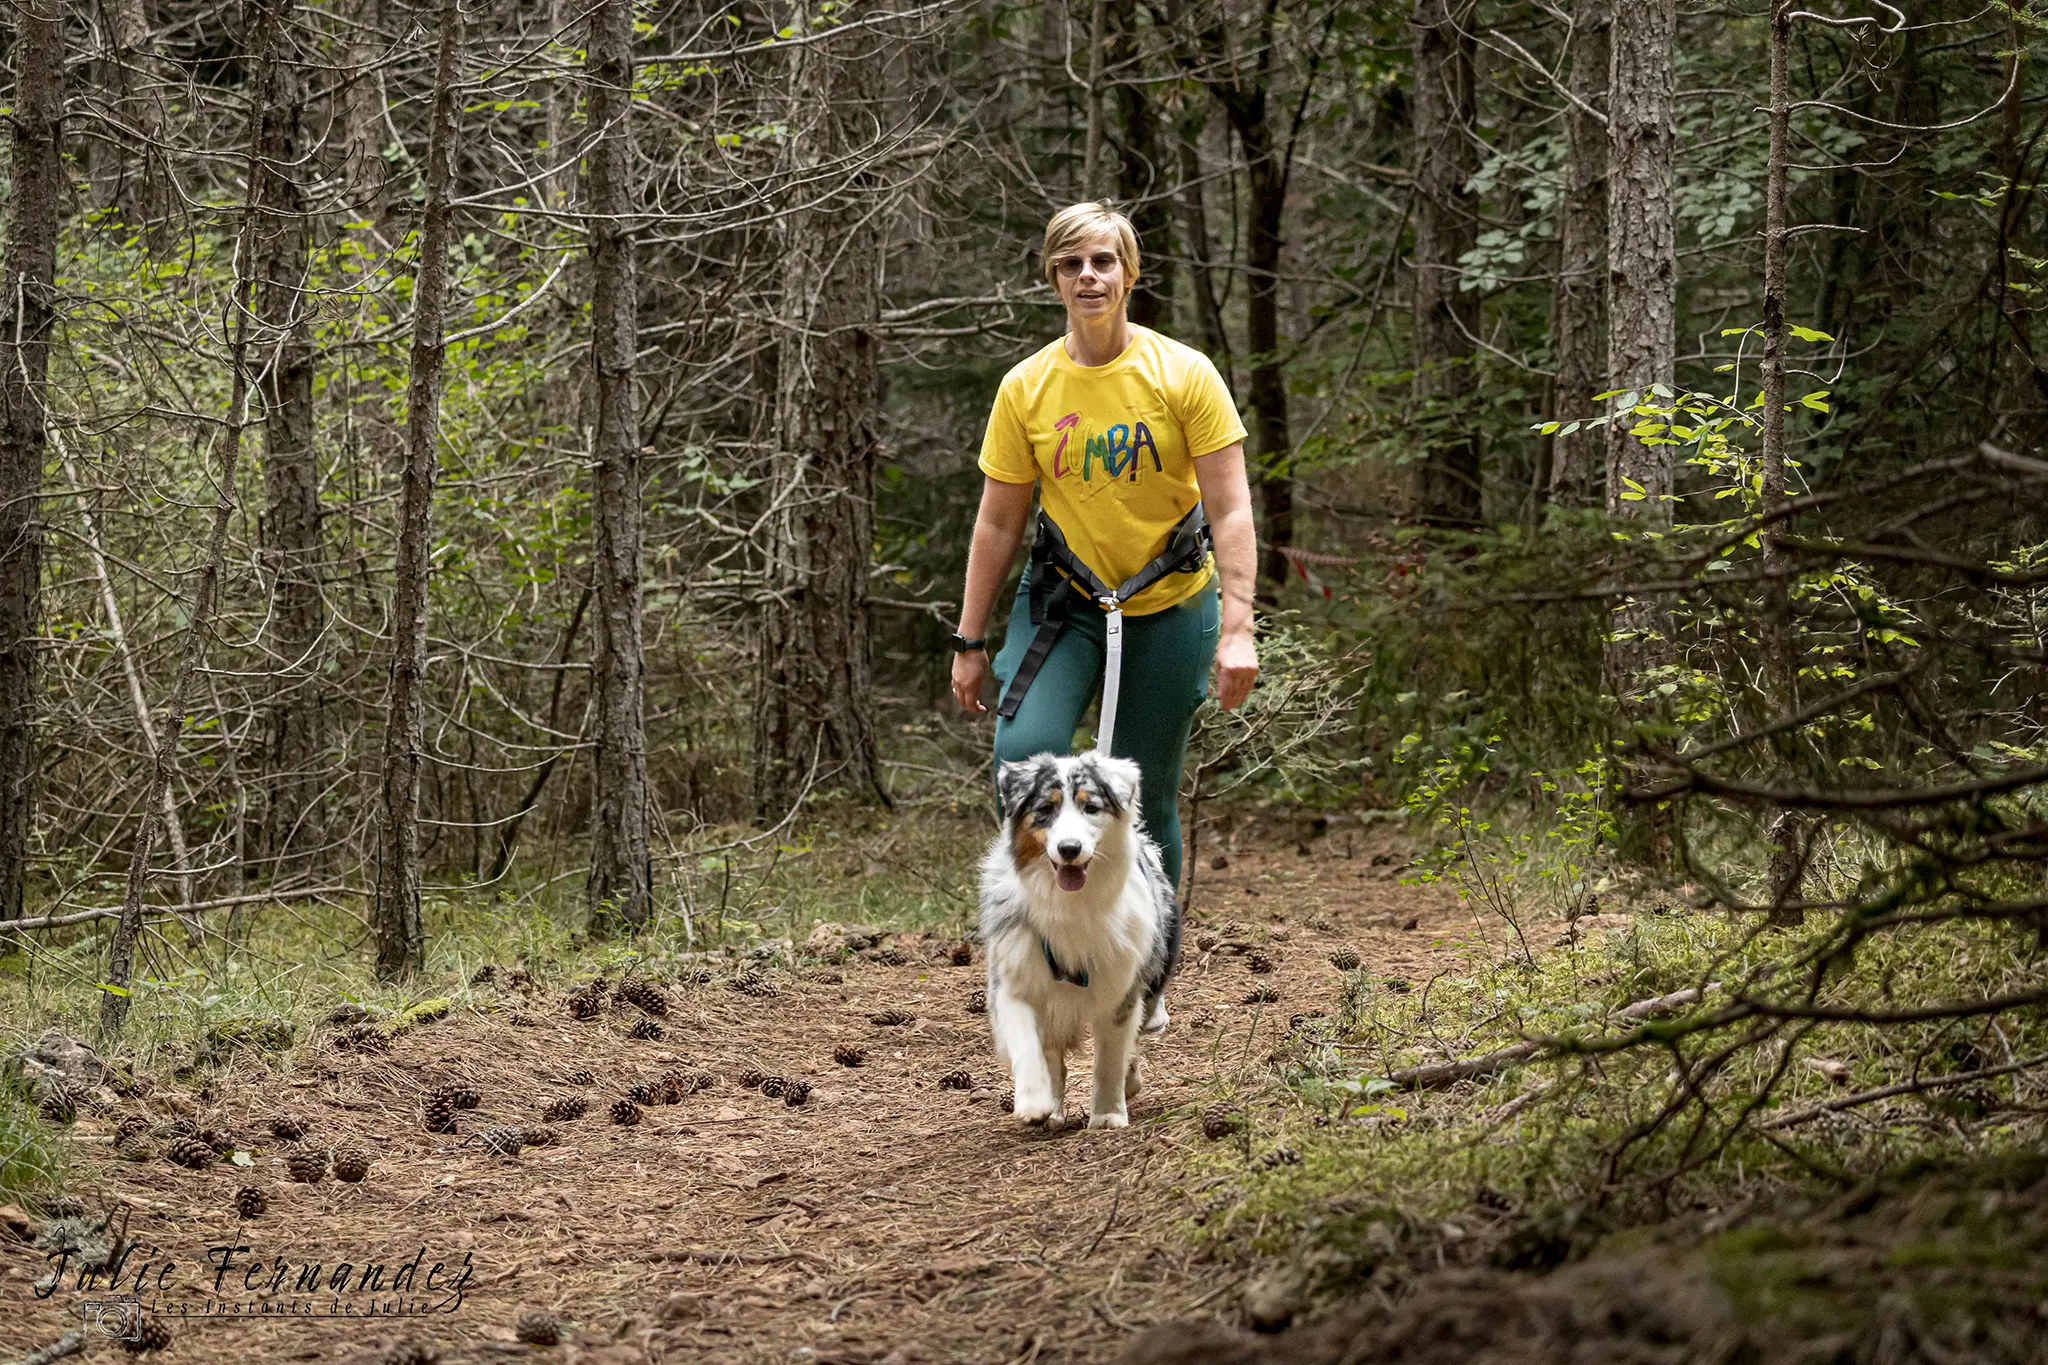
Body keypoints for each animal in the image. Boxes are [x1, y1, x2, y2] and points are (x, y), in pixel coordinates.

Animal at [978, 753, 1187, 1129]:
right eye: (1046, 809)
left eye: (1091, 807)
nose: (1069, 849)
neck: (1068, 905)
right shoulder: (1015, 978)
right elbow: (1027, 1045)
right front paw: (1034, 1101)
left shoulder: (1120, 988)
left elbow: (1110, 1059)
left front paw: (1107, 1115)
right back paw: (1052, 1109)